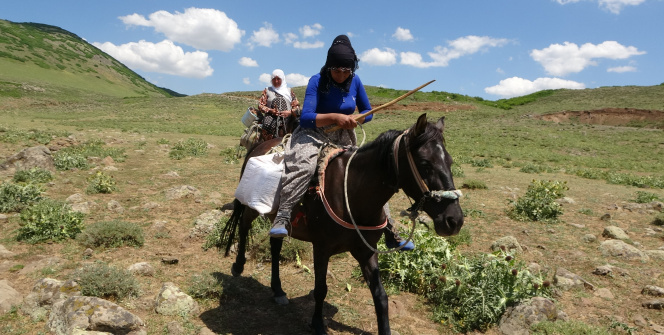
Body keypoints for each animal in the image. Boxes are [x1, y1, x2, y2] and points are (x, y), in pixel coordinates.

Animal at [223, 113, 462, 335]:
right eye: (425, 163)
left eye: (450, 161)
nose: (454, 221)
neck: (354, 194)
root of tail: (261, 144)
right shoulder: (321, 249)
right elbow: (321, 289)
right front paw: (318, 324)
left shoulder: (366, 251)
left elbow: (381, 296)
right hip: (254, 208)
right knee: (244, 227)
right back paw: (238, 266)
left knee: (275, 245)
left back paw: (278, 290)